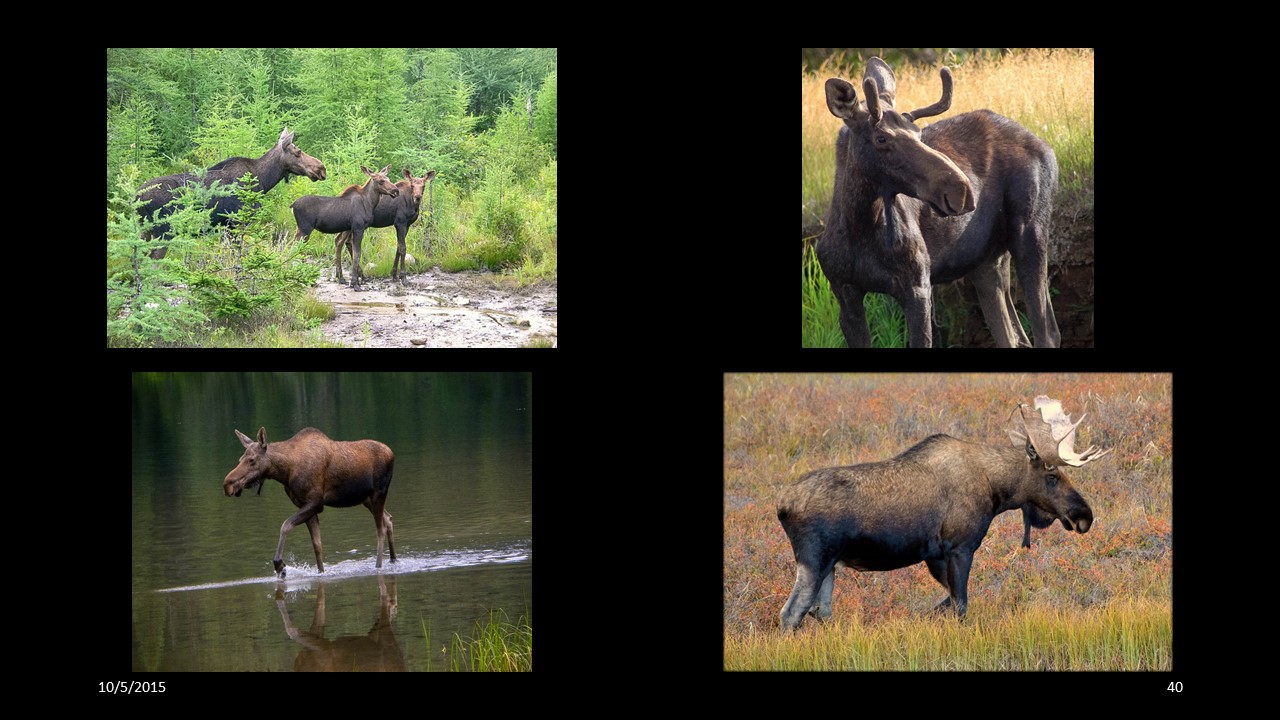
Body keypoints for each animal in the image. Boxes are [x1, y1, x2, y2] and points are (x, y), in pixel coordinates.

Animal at [777, 396, 1110, 629]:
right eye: (1052, 475)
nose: (1084, 515)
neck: (996, 490)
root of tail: (782, 506)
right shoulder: (960, 547)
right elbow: (960, 604)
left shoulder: (934, 555)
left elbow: (946, 601)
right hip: (814, 560)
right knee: (791, 613)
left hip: (830, 565)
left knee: (820, 612)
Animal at [817, 57, 1061, 347]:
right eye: (881, 138)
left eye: (918, 133)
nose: (962, 190)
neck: (860, 225)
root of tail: (1047, 146)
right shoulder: (844, 291)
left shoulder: (918, 288)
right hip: (987, 261)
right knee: (1014, 336)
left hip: (1030, 233)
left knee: (1048, 332)